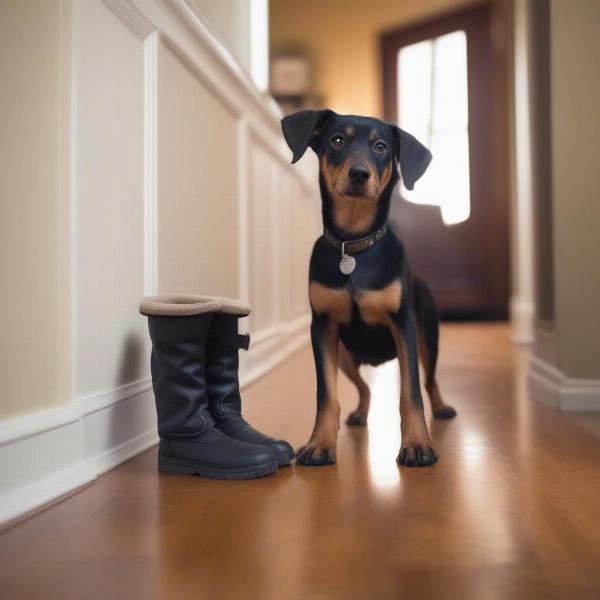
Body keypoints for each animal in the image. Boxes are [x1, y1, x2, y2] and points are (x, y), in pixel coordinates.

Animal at [282, 110, 454, 466]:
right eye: (337, 140)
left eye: (380, 146)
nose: (359, 174)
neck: (353, 245)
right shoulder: (322, 327)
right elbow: (326, 395)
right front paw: (319, 444)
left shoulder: (403, 325)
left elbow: (411, 393)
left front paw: (418, 445)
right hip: (345, 356)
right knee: (365, 388)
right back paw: (360, 414)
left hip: (428, 338)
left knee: (430, 380)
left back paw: (442, 408)